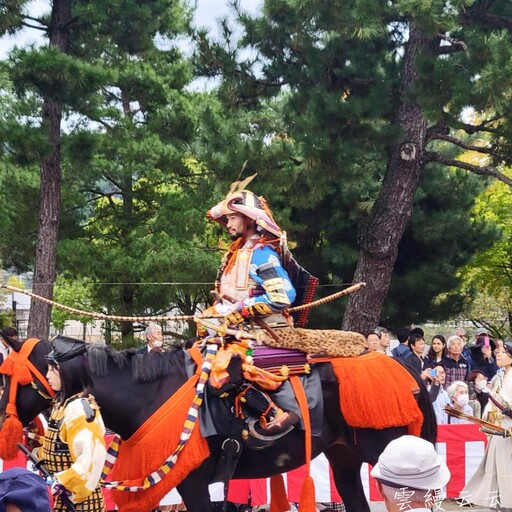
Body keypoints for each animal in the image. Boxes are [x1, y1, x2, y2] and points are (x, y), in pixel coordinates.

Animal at [0, 336, 436, 512]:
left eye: (12, 378)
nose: (6, 425)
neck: (152, 394)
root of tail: (407, 371)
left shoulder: (192, 482)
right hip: (345, 460)